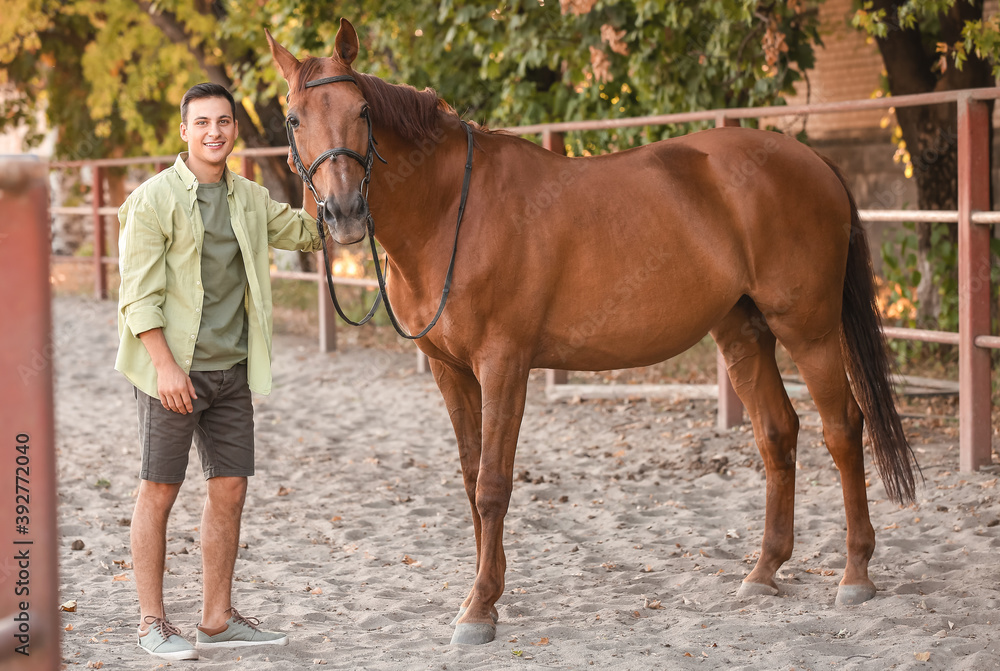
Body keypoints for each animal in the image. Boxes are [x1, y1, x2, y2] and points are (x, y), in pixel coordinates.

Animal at [264, 19, 916, 644]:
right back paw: (762, 572)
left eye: (362, 112)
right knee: (778, 433)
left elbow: (493, 484)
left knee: (843, 429)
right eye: (294, 118)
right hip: (743, 332)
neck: (453, 209)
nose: (344, 214)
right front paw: (483, 592)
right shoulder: (449, 371)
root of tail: (810, 160)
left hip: (808, 330)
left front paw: (479, 609)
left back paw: (855, 575)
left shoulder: (504, 364)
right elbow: (472, 480)